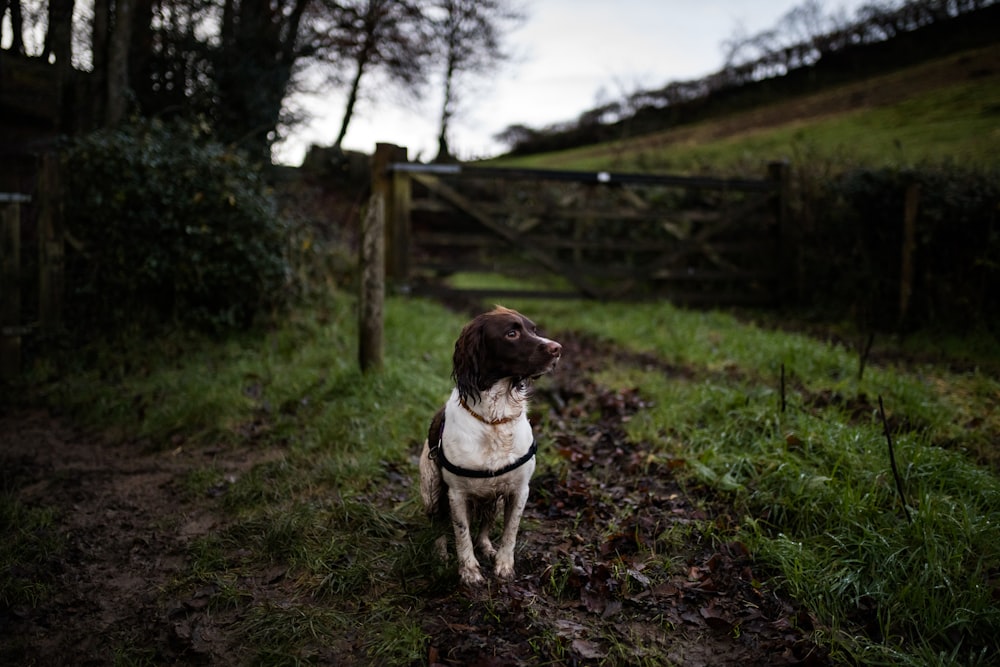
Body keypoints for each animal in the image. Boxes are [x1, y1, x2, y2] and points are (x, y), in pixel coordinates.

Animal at [418, 306, 564, 584]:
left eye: (534, 329)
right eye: (511, 333)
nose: (557, 348)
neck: (495, 419)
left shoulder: (519, 489)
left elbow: (510, 532)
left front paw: (504, 565)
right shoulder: (456, 493)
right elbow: (461, 533)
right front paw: (469, 571)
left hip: (494, 500)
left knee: (484, 527)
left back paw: (486, 547)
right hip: (432, 491)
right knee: (437, 524)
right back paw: (440, 555)